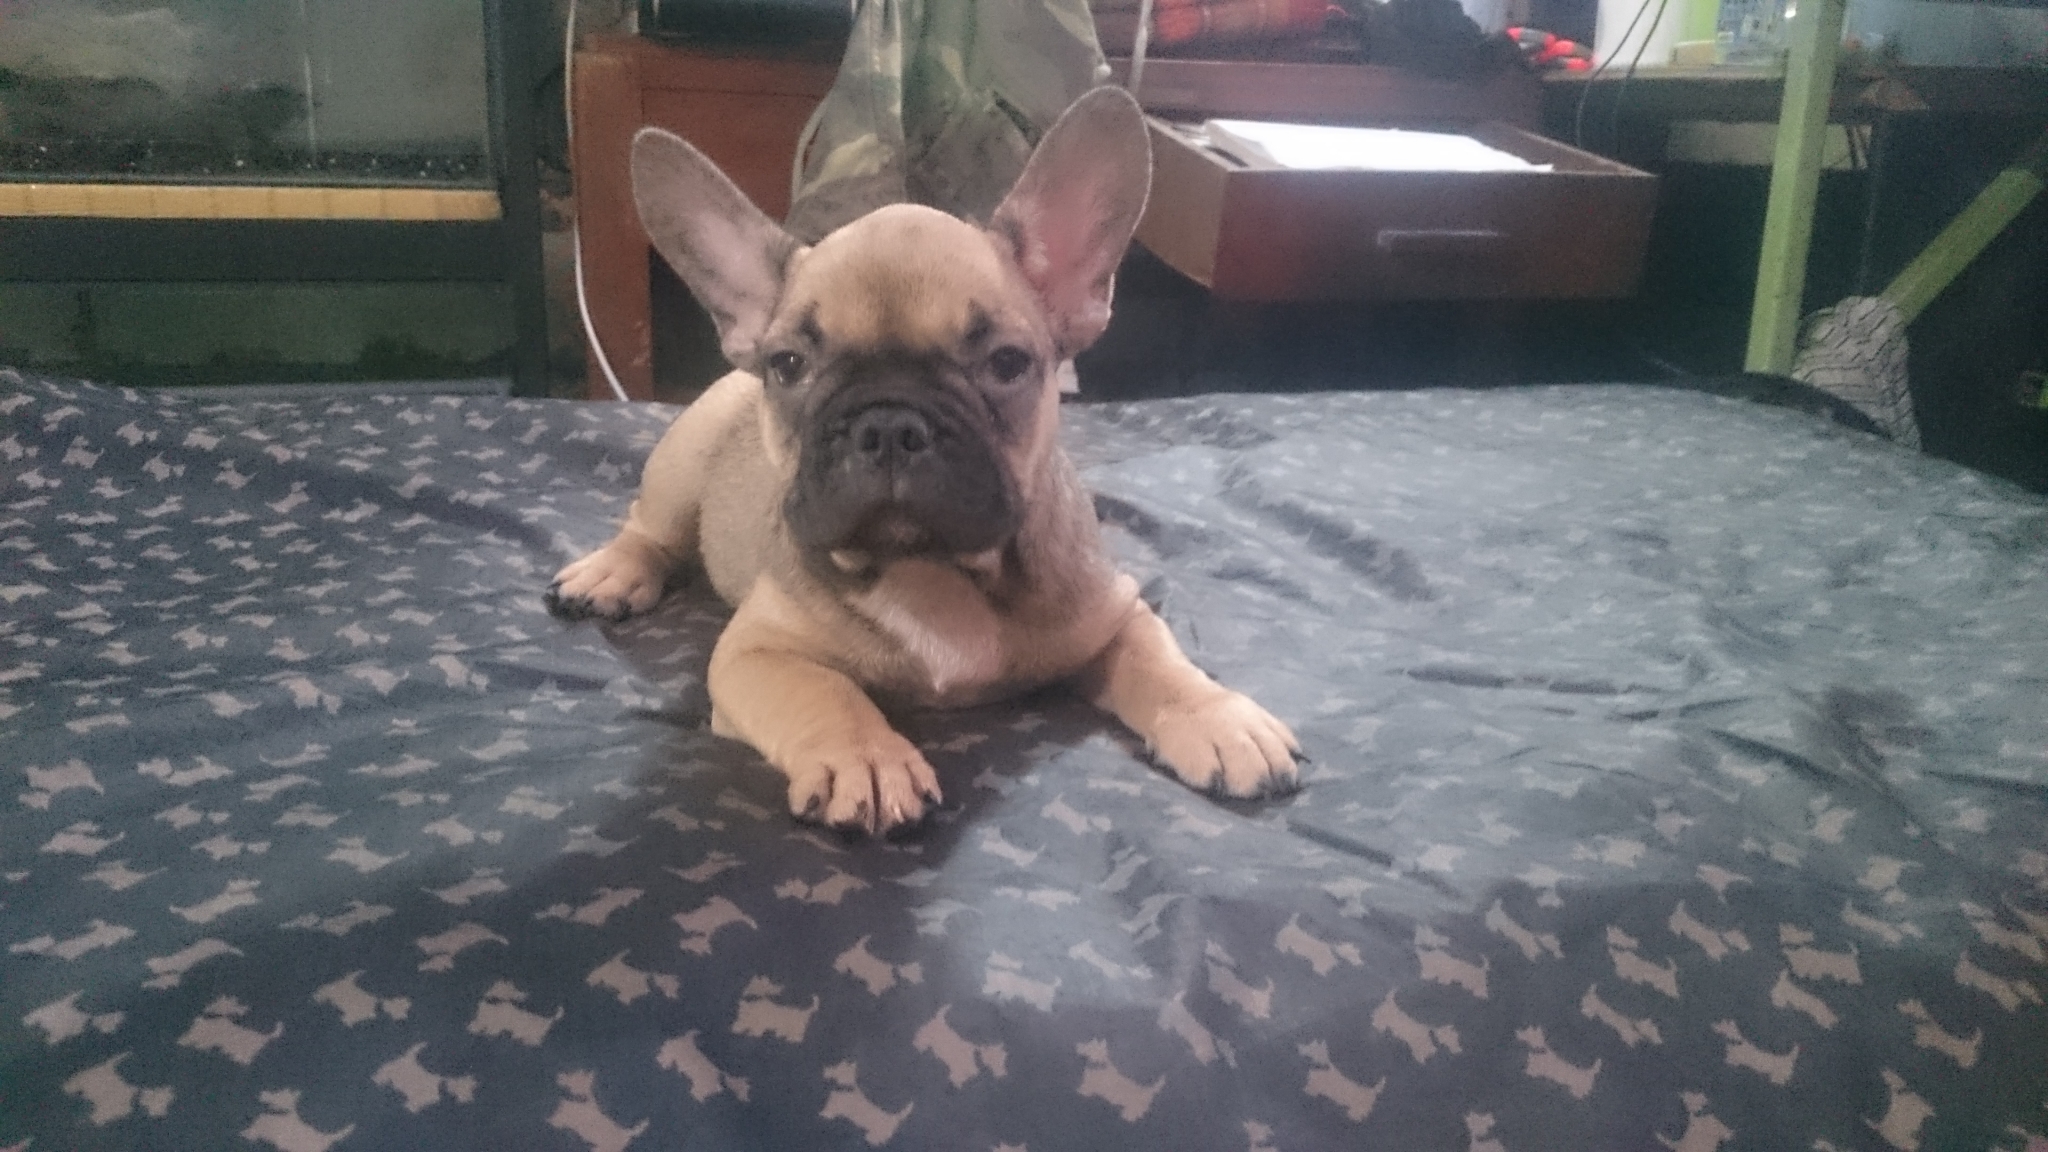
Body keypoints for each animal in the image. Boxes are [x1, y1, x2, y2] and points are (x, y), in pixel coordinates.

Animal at [547, 87, 1297, 835]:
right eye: (788, 365)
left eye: (1007, 363)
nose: (888, 424)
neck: (933, 569)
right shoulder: (755, 652)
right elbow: (823, 689)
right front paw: (866, 757)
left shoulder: (1114, 613)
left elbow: (1160, 658)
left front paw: (1219, 718)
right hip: (682, 462)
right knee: (648, 528)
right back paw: (611, 573)